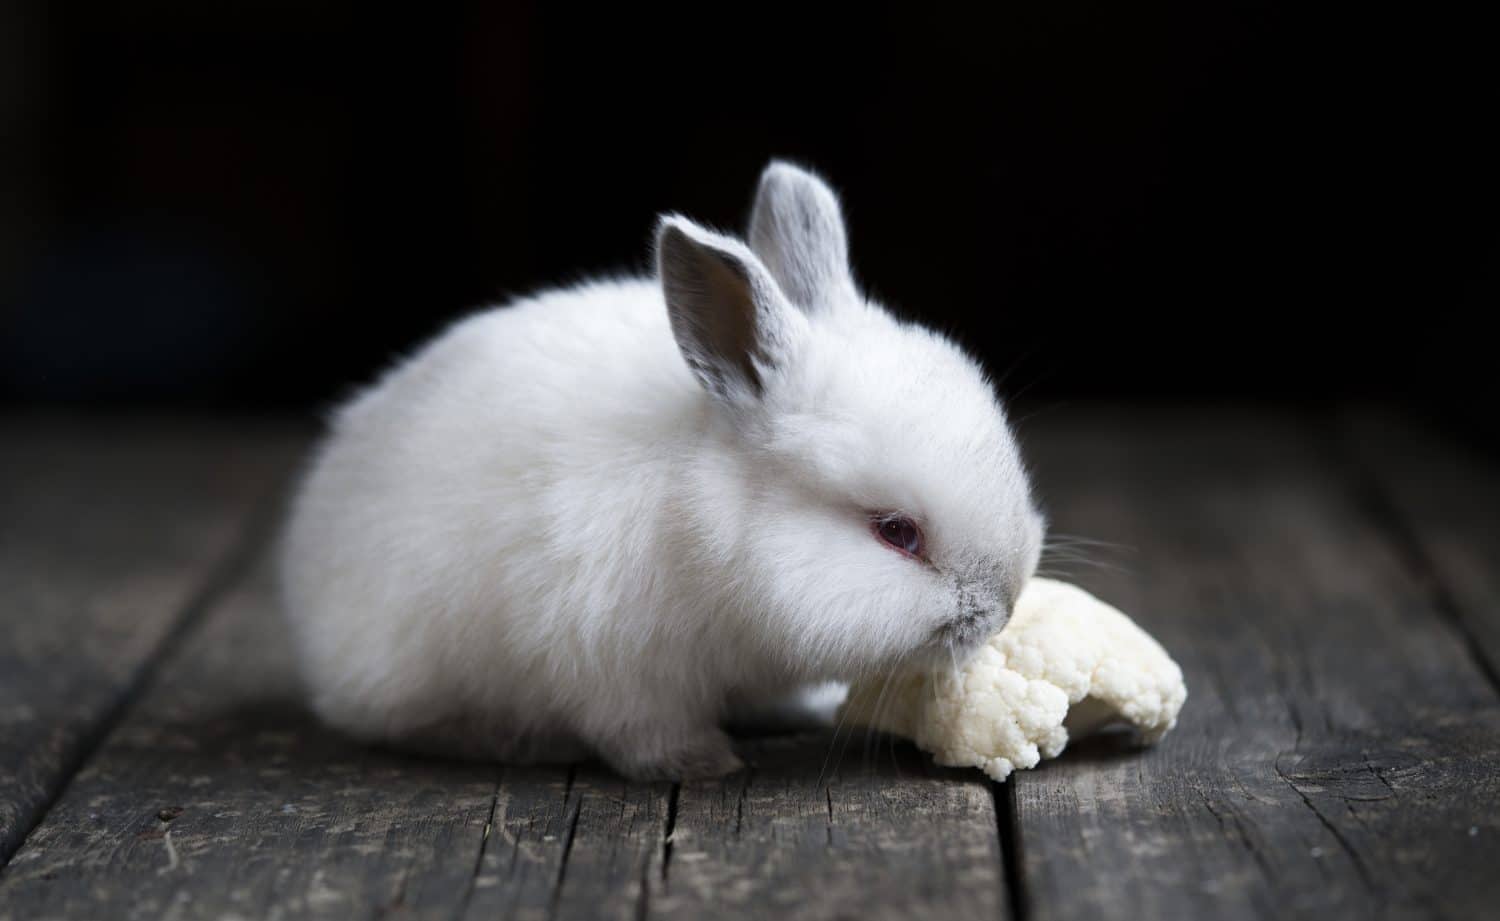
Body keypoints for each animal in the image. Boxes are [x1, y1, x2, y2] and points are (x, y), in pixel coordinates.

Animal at [279, 164, 1044, 780]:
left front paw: (808, 709)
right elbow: (643, 732)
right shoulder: (610, 665)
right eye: (896, 532)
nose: (1001, 610)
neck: (703, 532)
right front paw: (702, 765)